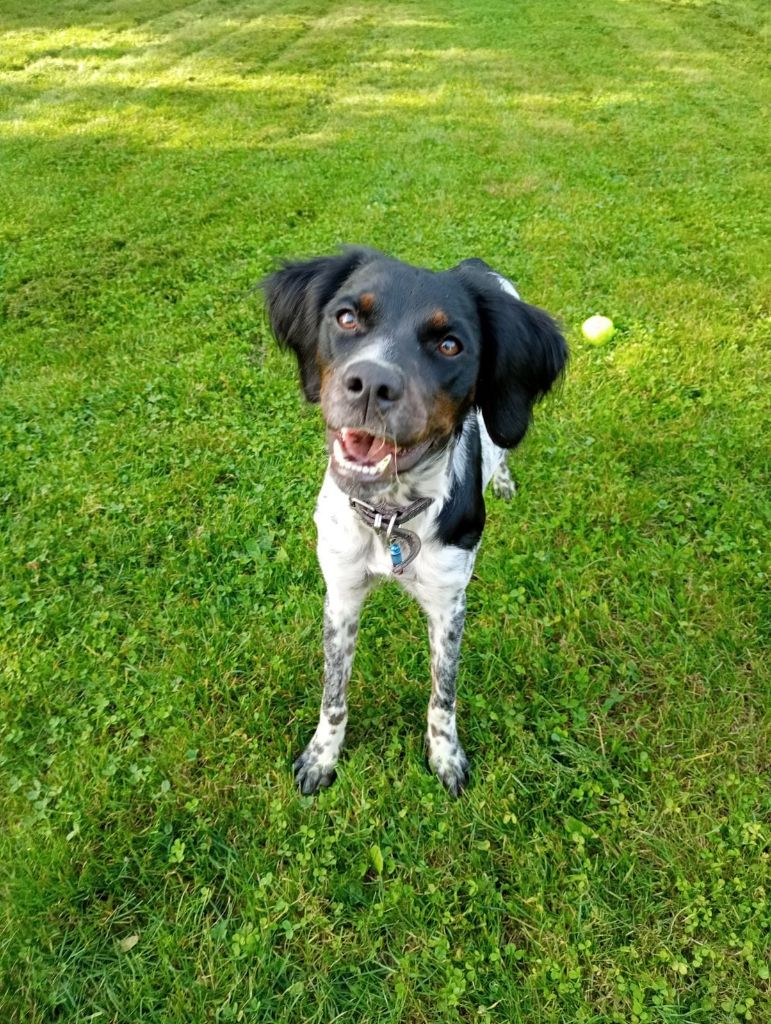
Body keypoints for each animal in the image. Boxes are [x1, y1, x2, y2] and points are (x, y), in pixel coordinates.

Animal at [264, 245, 565, 790]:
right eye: (346, 317)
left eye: (450, 345)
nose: (372, 383)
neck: (390, 516)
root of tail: (474, 262)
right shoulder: (341, 593)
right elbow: (333, 694)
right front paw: (322, 756)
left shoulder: (450, 604)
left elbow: (443, 696)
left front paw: (446, 757)